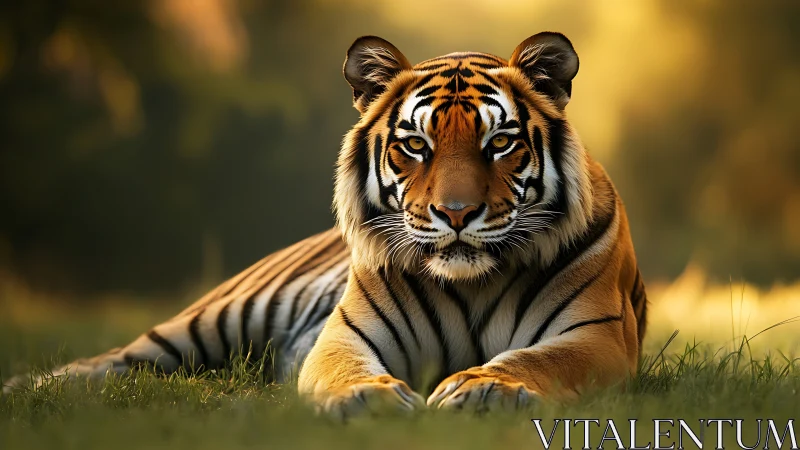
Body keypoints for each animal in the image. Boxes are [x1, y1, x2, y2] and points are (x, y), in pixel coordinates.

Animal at [3, 32, 648, 417]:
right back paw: (27, 392)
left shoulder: (597, 334)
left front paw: (484, 387)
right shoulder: (347, 333)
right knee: (108, 362)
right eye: (416, 145)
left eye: (500, 143)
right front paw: (369, 400)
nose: (456, 214)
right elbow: (345, 367)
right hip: (210, 319)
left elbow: (537, 359)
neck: (471, 281)